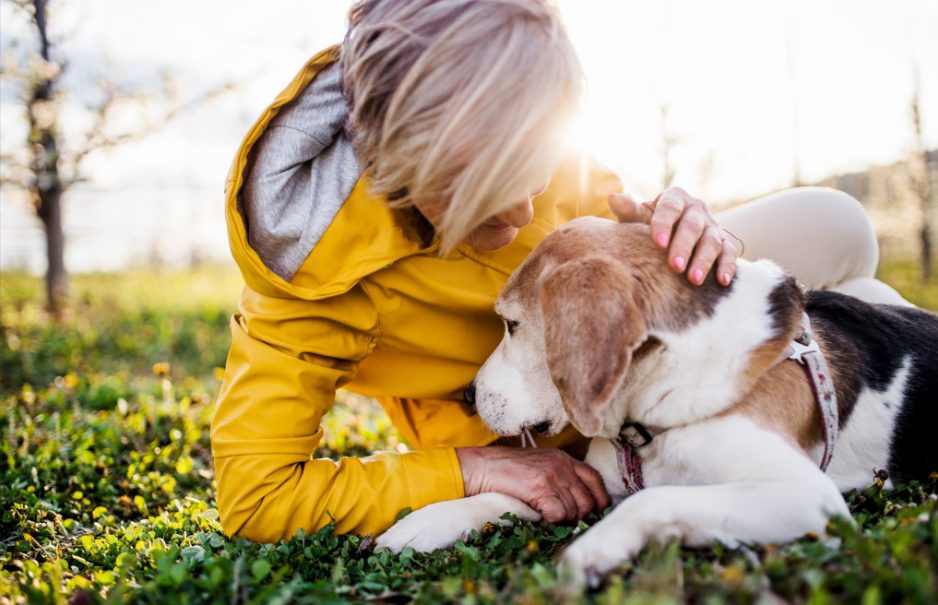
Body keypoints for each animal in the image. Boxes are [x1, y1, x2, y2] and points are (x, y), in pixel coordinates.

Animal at [374, 217, 936, 584]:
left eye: (512, 324)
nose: (467, 395)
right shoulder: (597, 479)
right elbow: (503, 496)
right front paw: (424, 524)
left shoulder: (806, 496)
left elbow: (656, 497)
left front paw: (596, 548)